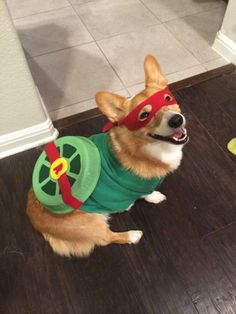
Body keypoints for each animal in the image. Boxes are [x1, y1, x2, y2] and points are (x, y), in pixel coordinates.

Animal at [26, 55, 188, 256]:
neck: (151, 147)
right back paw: (132, 235)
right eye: (143, 115)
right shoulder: (135, 187)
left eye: (167, 98)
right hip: (92, 223)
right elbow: (145, 193)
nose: (177, 120)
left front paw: (152, 197)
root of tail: (34, 219)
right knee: (106, 239)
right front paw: (149, 198)